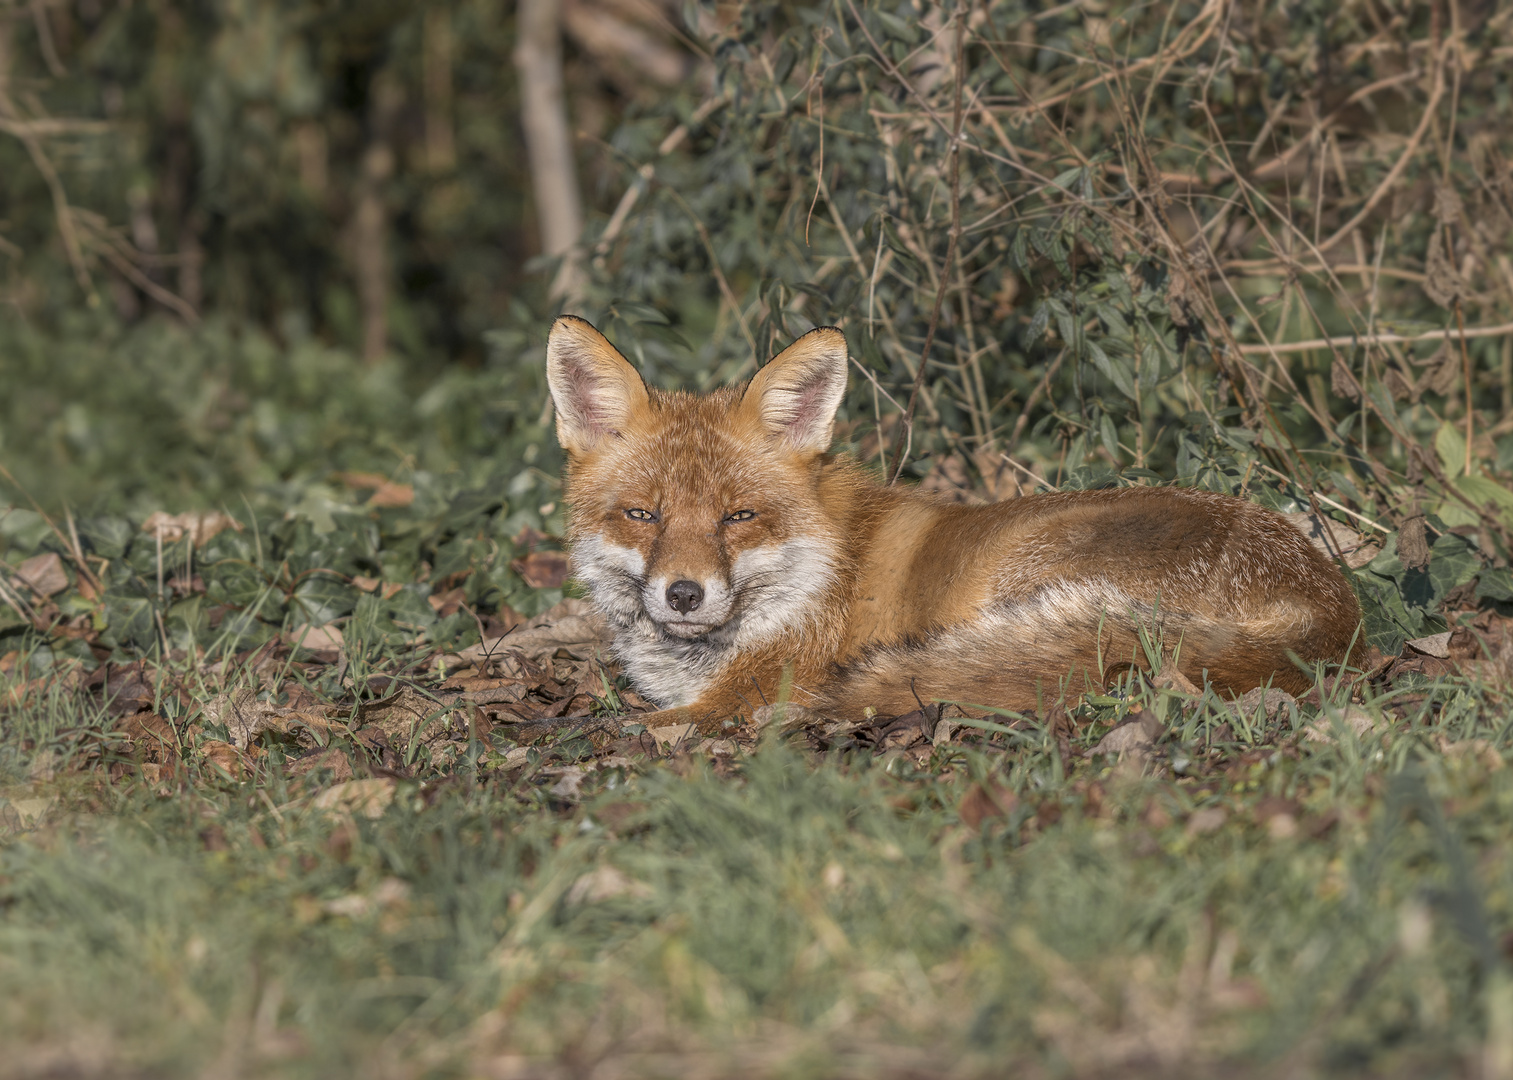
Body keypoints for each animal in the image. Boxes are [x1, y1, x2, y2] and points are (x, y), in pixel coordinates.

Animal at [550, 316, 1367, 729]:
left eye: (738, 516)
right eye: (642, 515)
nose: (683, 594)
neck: (815, 576)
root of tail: (1334, 611)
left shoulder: (754, 690)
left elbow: (649, 723)